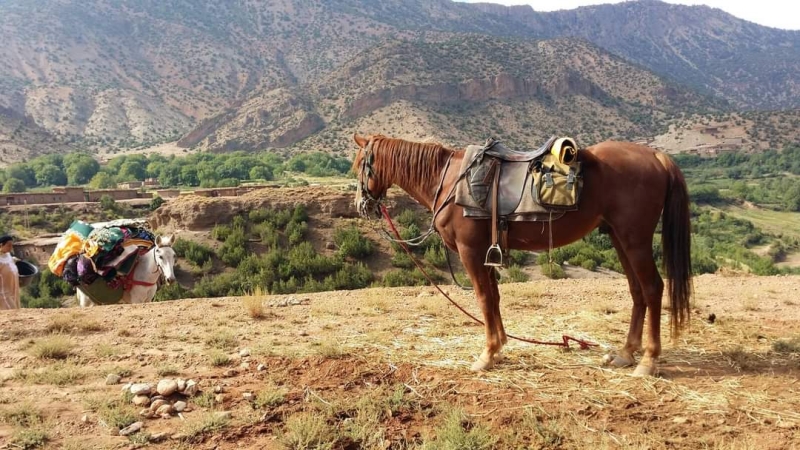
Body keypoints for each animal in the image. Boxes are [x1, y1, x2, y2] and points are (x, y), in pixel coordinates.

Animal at [354, 133, 692, 376]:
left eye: (360, 165)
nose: (361, 205)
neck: (449, 181)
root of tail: (657, 156)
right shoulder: (488, 252)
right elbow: (494, 297)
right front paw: (499, 346)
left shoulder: (470, 251)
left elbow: (483, 298)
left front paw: (487, 355)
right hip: (620, 238)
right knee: (637, 291)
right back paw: (625, 354)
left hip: (635, 239)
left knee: (652, 288)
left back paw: (648, 362)